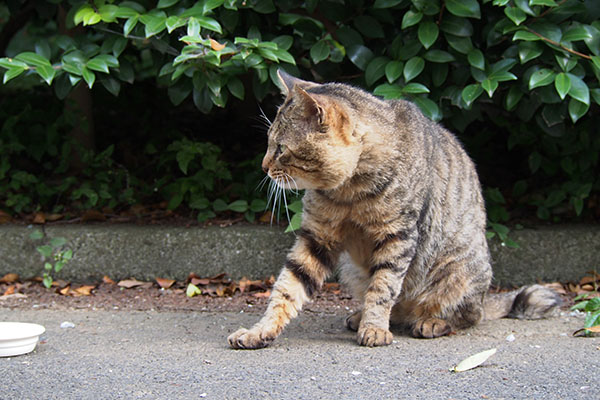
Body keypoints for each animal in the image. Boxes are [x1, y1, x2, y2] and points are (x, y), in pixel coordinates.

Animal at [227, 70, 560, 348]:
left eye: (281, 149)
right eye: (268, 143)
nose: (264, 166)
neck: (349, 191)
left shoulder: (397, 236)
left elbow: (384, 287)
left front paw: (375, 328)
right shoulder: (317, 237)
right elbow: (286, 288)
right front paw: (259, 330)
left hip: (457, 270)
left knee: (467, 315)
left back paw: (430, 321)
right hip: (351, 268)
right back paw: (361, 316)